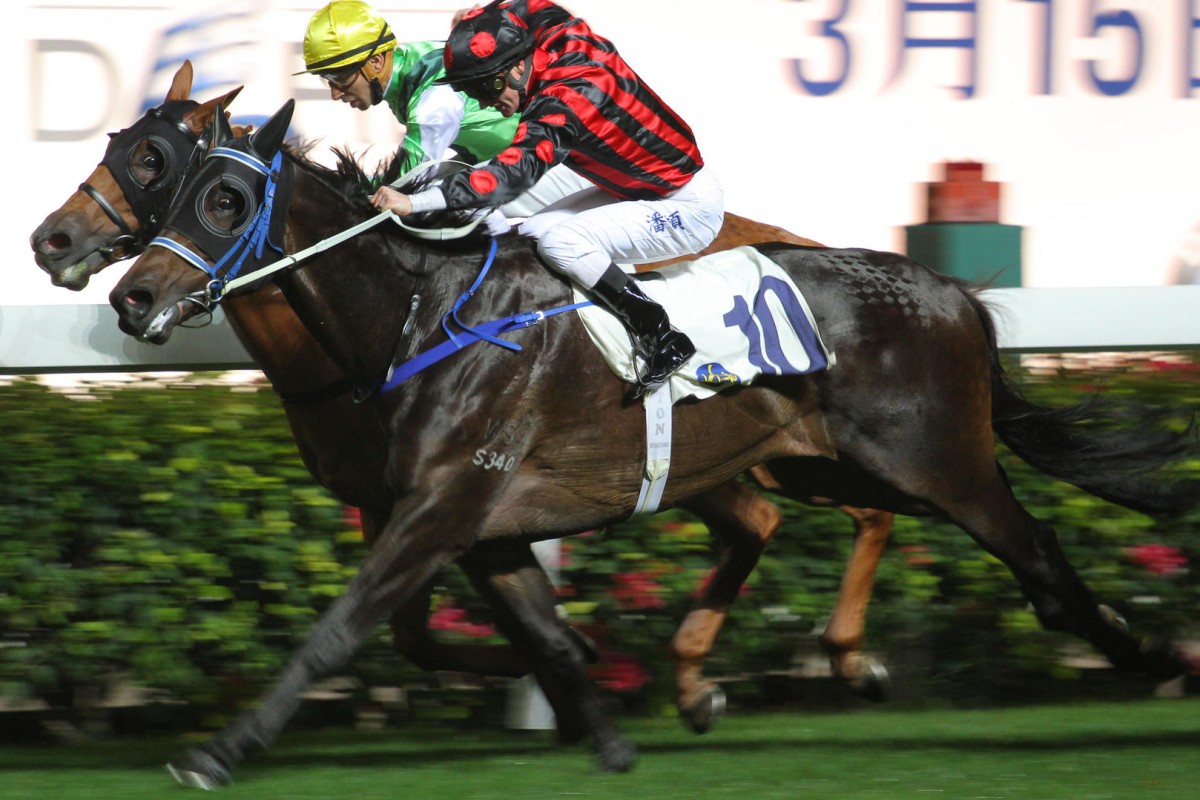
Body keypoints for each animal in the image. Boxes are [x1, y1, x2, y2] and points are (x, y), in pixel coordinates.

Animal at [28, 64, 897, 743]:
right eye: (117, 143)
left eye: (153, 160)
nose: (52, 240)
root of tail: (807, 246)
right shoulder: (393, 497)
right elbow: (417, 632)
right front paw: (572, 665)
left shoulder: (440, 489)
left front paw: (577, 667)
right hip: (718, 464)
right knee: (763, 523)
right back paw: (696, 682)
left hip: (784, 449)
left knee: (866, 510)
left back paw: (853, 656)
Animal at [108, 100, 1195, 786]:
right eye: (167, 191)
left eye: (226, 201)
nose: (133, 296)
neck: (418, 313)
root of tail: (954, 294)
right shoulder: (483, 521)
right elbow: (544, 635)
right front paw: (611, 738)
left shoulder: (440, 505)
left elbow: (337, 630)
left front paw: (216, 752)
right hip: (828, 459)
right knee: (845, 522)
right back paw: (829, 665)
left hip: (939, 460)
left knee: (1038, 559)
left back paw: (1154, 655)